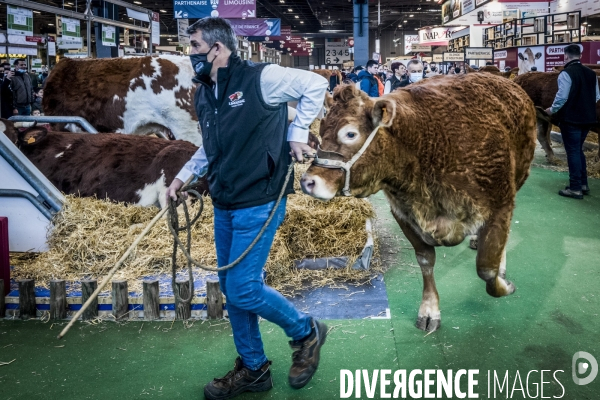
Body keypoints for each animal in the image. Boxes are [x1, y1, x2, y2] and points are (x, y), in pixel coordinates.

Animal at [300, 75, 536, 332]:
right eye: (321, 129)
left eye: (350, 134)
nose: (308, 181)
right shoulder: (404, 214)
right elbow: (425, 260)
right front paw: (430, 310)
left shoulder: (500, 205)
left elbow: (487, 268)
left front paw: (504, 283)